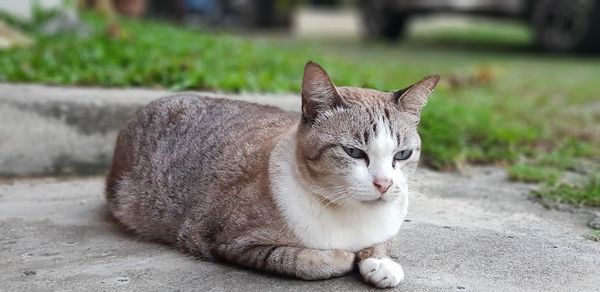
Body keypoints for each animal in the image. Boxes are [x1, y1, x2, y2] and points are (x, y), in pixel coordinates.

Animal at [105, 61, 438, 288]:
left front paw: (380, 261)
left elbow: (382, 242)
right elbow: (297, 259)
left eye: (402, 155)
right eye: (354, 152)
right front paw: (341, 257)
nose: (384, 184)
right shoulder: (228, 241)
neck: (347, 210)